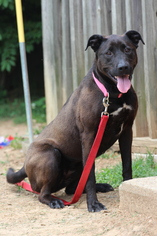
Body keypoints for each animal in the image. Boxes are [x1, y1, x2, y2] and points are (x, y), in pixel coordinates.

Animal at [7, 30, 145, 212]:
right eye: (108, 53)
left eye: (128, 50)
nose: (123, 67)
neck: (112, 93)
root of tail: (25, 165)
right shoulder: (89, 136)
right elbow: (91, 174)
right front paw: (93, 204)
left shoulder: (127, 131)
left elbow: (127, 165)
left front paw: (127, 187)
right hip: (51, 154)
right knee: (42, 193)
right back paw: (54, 201)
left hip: (77, 163)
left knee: (72, 188)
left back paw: (100, 187)